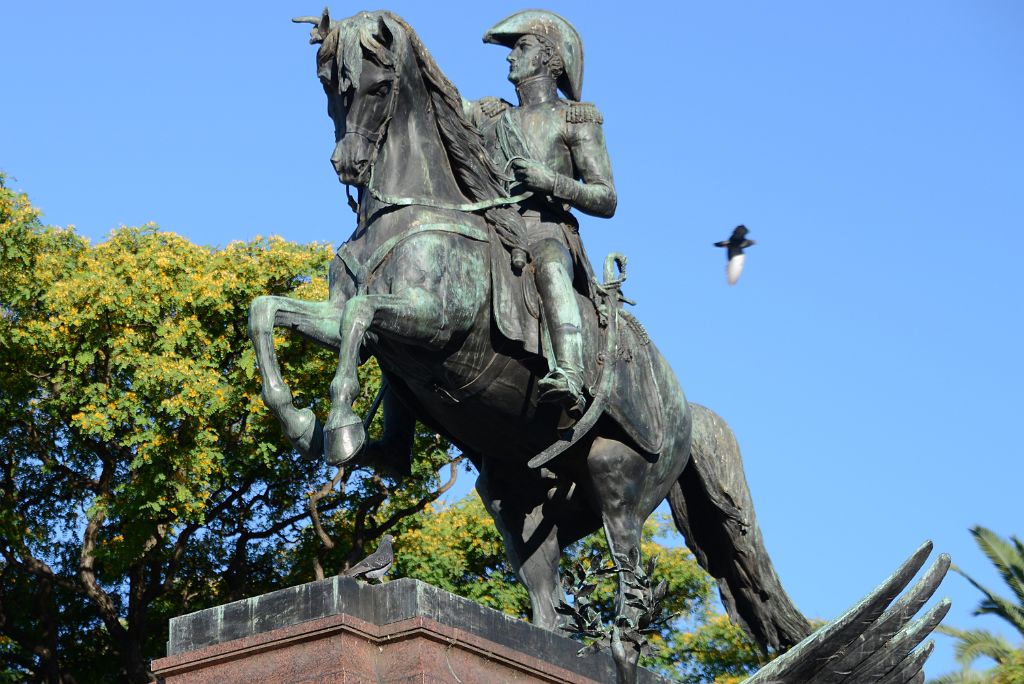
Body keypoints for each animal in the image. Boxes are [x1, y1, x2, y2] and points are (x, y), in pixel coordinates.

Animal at [247, 9, 806, 663]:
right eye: (330, 87)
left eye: (378, 86)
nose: (348, 165)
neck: (410, 208)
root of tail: (685, 409)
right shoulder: (350, 321)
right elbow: (268, 311)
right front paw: (298, 420)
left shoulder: (432, 320)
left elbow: (361, 314)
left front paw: (338, 425)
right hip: (517, 496)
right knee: (548, 593)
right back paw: (547, 639)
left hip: (616, 476)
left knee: (630, 573)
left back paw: (617, 645)